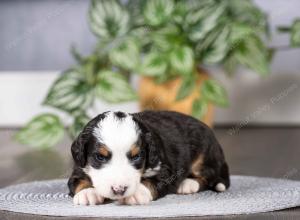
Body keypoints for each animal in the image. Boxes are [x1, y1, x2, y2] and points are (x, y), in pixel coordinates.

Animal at [68, 111, 231, 205]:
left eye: (136, 156)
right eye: (100, 157)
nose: (119, 190)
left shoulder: (165, 168)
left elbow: (152, 181)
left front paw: (137, 193)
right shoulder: (79, 167)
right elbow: (78, 182)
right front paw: (87, 193)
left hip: (204, 154)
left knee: (207, 176)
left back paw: (187, 184)